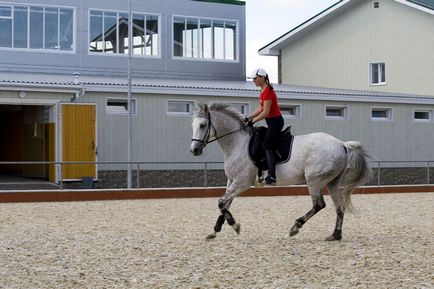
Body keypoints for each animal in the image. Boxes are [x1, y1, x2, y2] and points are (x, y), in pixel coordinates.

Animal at [190, 102, 372, 240]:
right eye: (193, 125)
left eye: (203, 125)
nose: (194, 150)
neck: (237, 143)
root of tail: (342, 144)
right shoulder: (232, 181)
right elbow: (225, 203)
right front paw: (215, 230)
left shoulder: (242, 182)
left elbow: (221, 202)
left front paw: (235, 226)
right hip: (333, 182)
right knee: (339, 207)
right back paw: (335, 235)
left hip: (314, 180)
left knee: (319, 204)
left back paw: (296, 227)